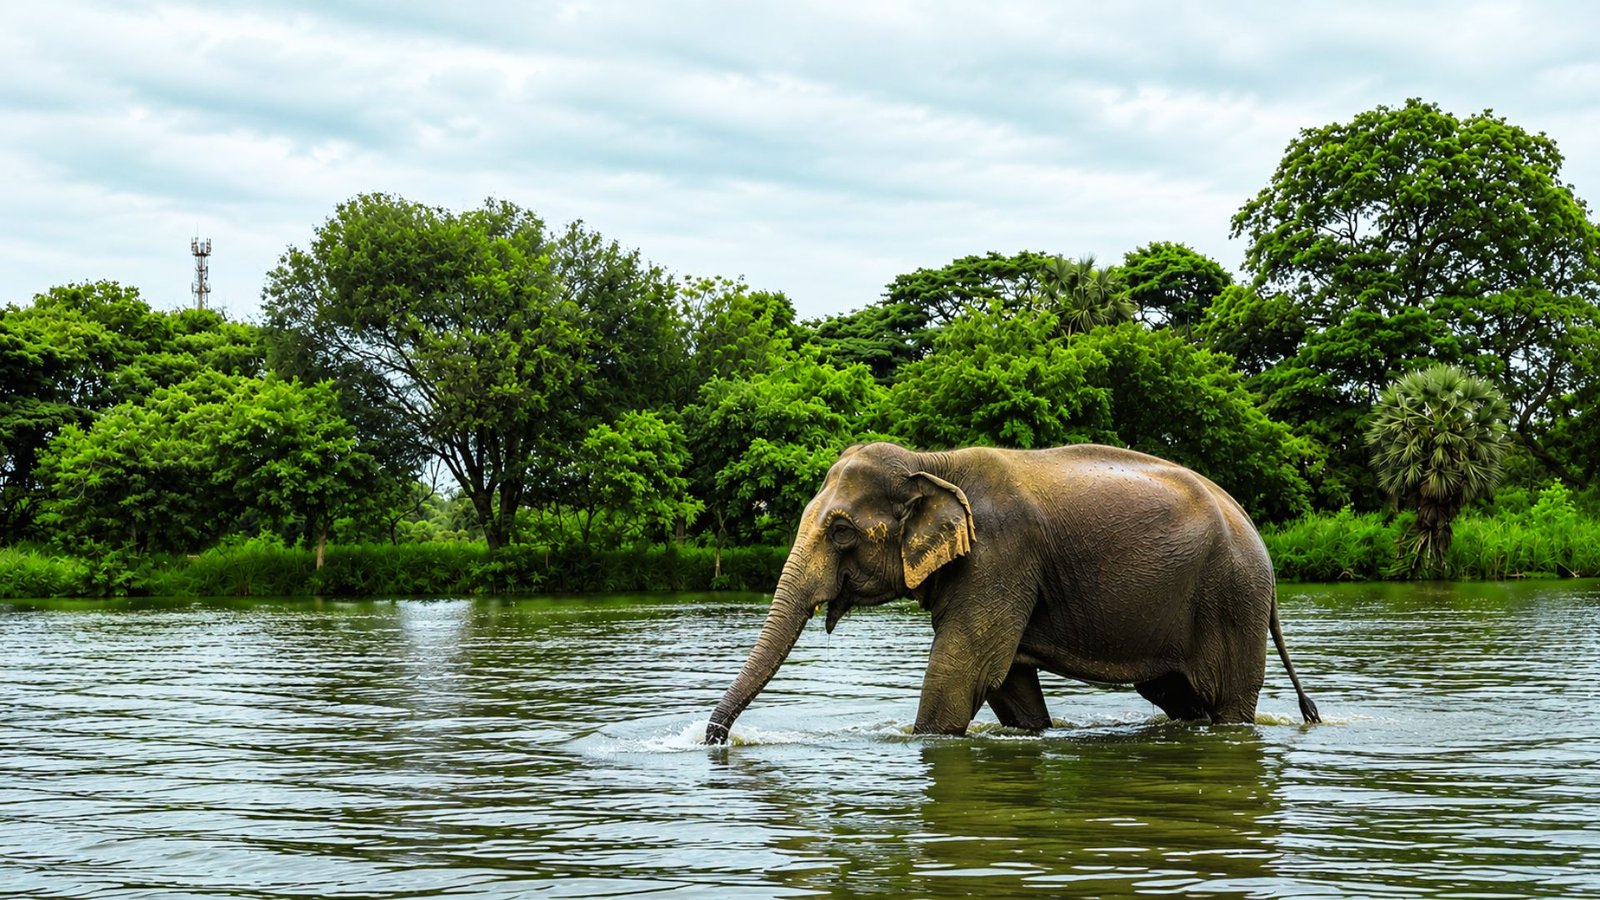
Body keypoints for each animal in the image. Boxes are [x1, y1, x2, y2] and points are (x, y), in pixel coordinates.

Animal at [705, 441, 1319, 744]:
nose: (717, 741)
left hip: (1232, 599)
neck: (933, 464)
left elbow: (965, 669)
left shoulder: (1000, 557)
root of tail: (1253, 528)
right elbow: (1008, 682)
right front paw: (1035, 730)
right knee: (1174, 693)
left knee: (1226, 701)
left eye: (840, 531)